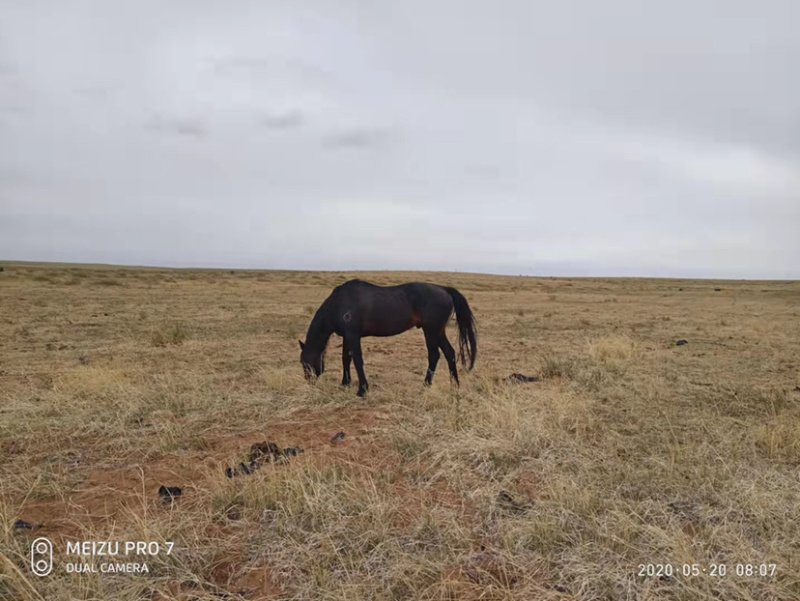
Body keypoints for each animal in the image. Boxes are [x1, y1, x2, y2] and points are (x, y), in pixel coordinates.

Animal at [299, 279, 477, 396]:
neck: (339, 303)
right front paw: (345, 384)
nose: (309, 381)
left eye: (304, 362)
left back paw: (426, 385)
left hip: (431, 330)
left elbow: (357, 360)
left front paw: (362, 389)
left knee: (434, 355)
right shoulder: (347, 336)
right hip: (438, 331)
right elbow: (346, 359)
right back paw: (454, 385)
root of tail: (444, 289)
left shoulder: (353, 335)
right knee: (449, 353)